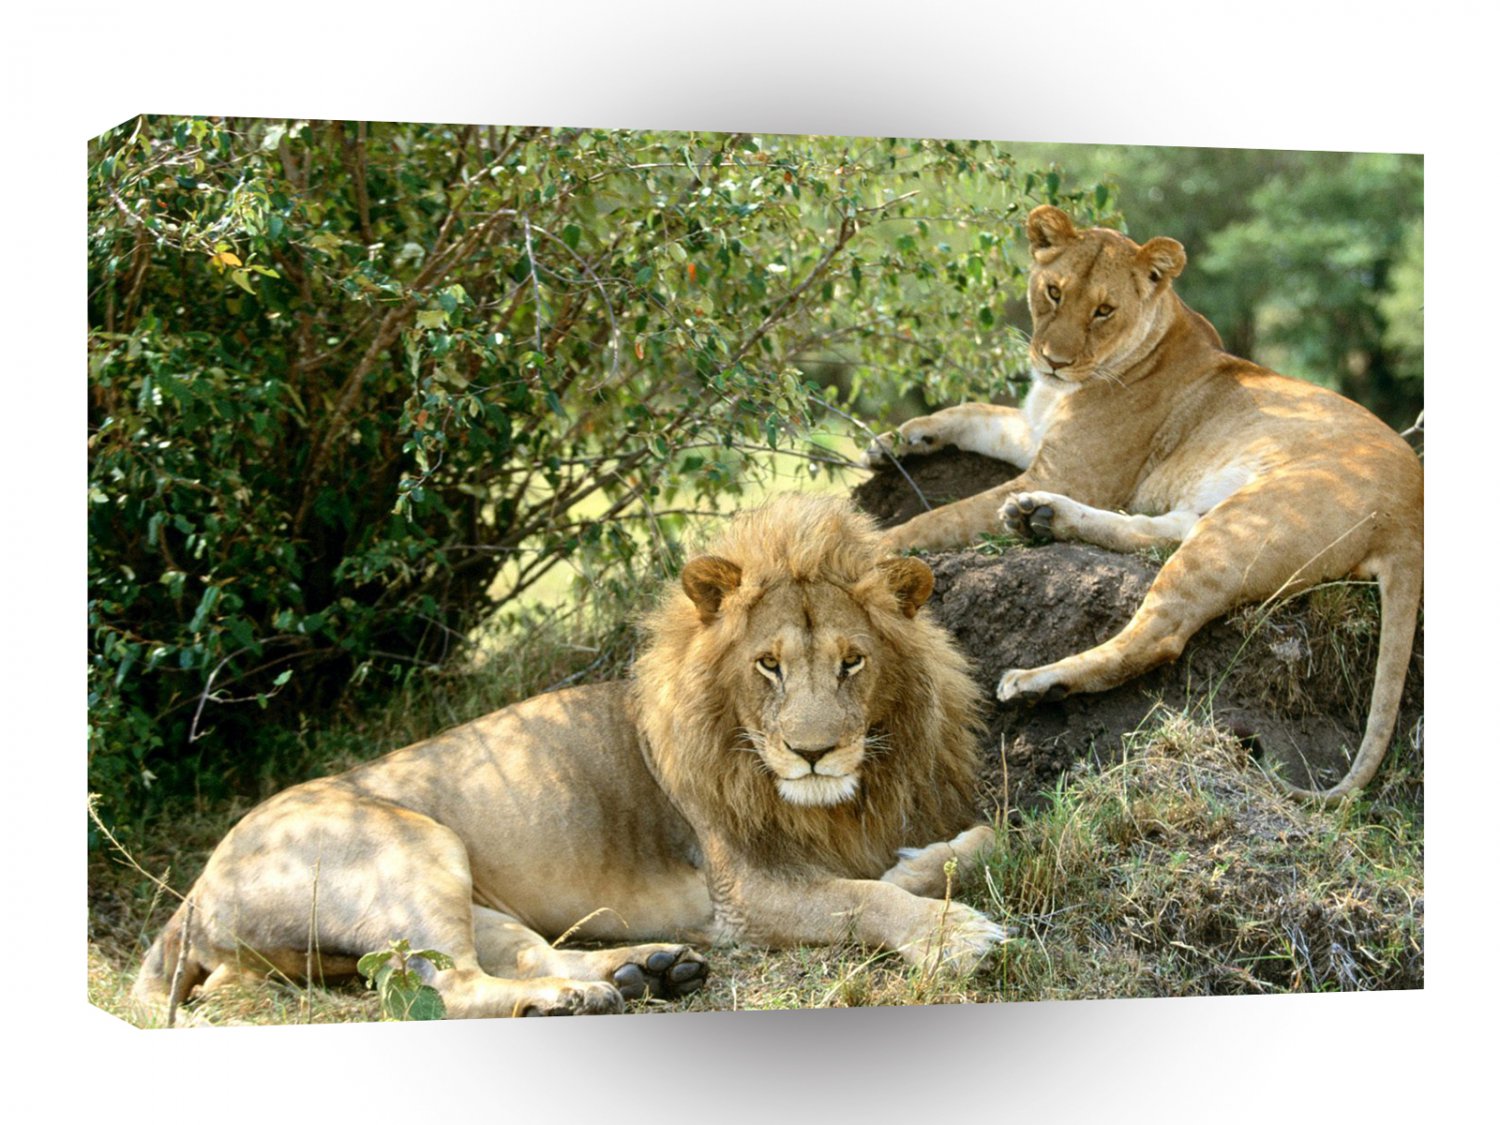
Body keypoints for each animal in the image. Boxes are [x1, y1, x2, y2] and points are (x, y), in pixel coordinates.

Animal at [130, 495, 1006, 1022]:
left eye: (853, 661)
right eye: (768, 665)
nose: (814, 752)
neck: (838, 798)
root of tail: (193, 890)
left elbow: (968, 845)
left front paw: (927, 861)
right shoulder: (745, 891)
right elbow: (861, 899)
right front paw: (955, 936)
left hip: (458, 892)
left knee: (520, 950)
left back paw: (642, 969)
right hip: (411, 845)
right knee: (445, 984)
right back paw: (569, 999)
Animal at [866, 204, 1423, 801]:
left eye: (1104, 311)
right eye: (1054, 292)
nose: (1053, 361)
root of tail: (1414, 515)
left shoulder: (1072, 471)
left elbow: (936, 519)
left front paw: (871, 544)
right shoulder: (1040, 439)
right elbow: (973, 413)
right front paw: (896, 439)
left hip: (1249, 521)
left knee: (1159, 634)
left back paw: (1037, 680)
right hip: (1219, 514)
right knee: (1157, 531)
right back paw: (1039, 516)